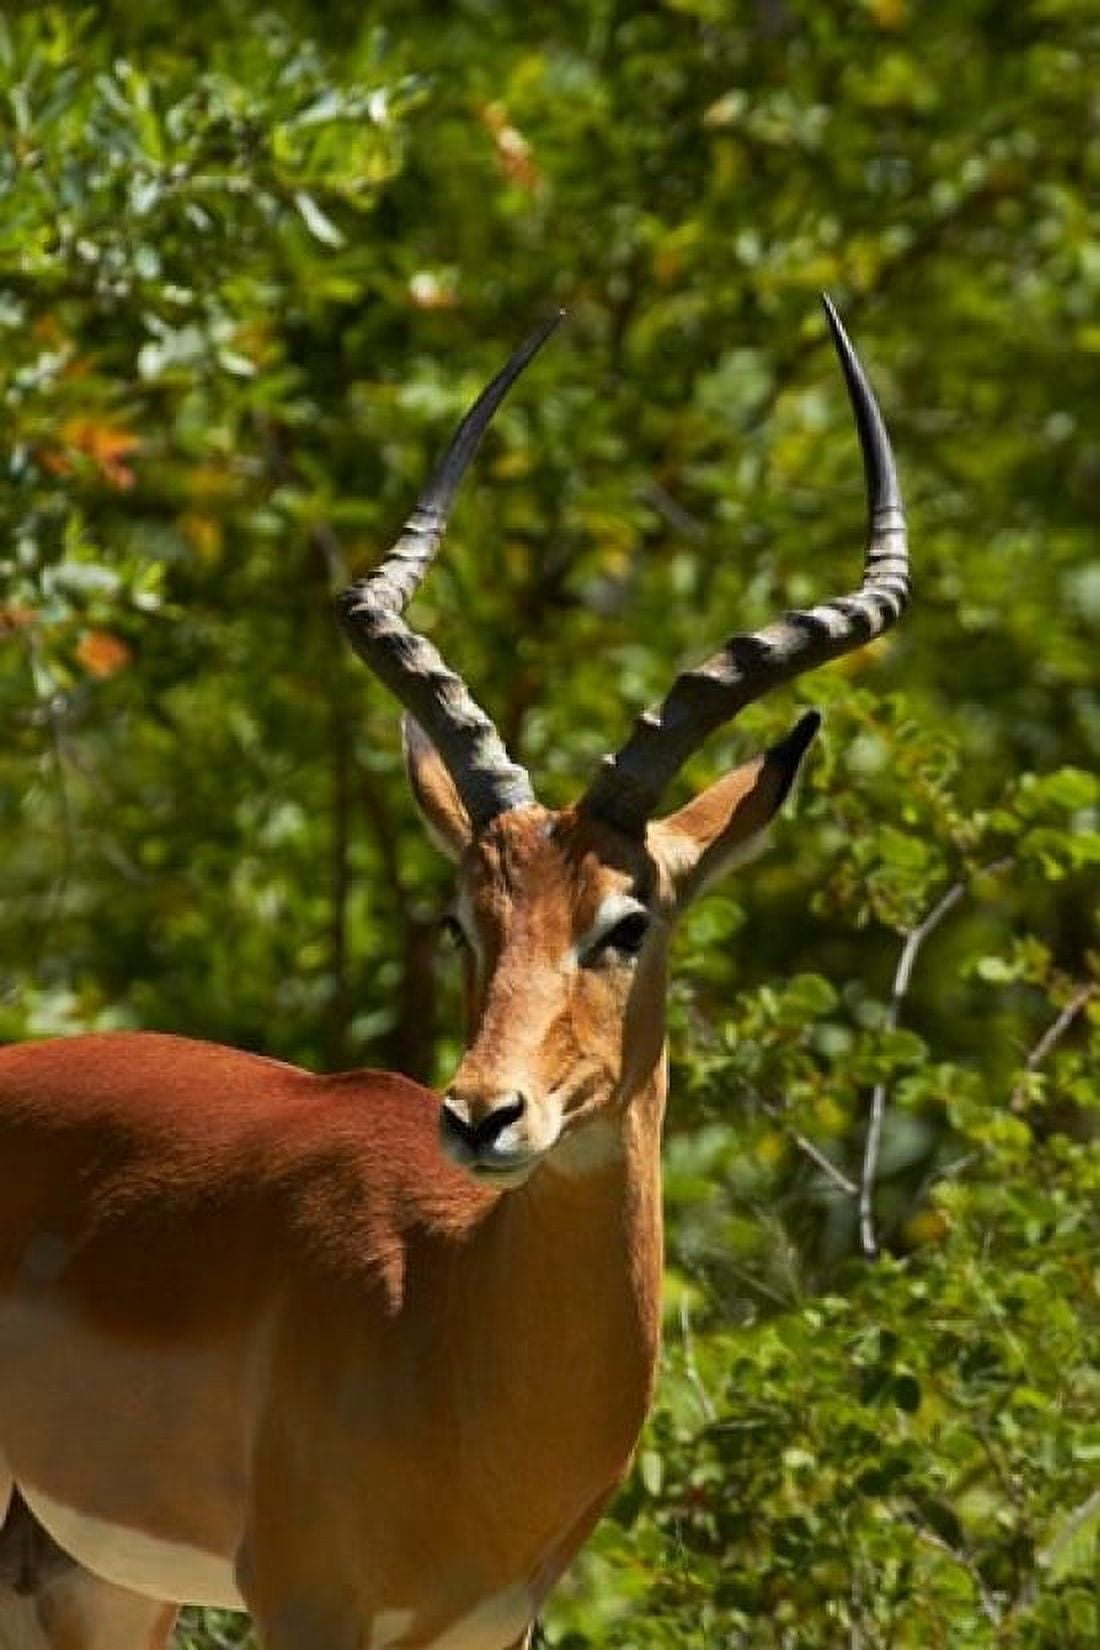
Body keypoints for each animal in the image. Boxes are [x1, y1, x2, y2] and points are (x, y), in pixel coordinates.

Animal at [0, 299, 908, 1650]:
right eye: (462, 920)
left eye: (626, 921)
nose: (482, 1116)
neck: (444, 1320)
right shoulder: (305, 1606)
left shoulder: (488, 1626)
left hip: (94, 1580)